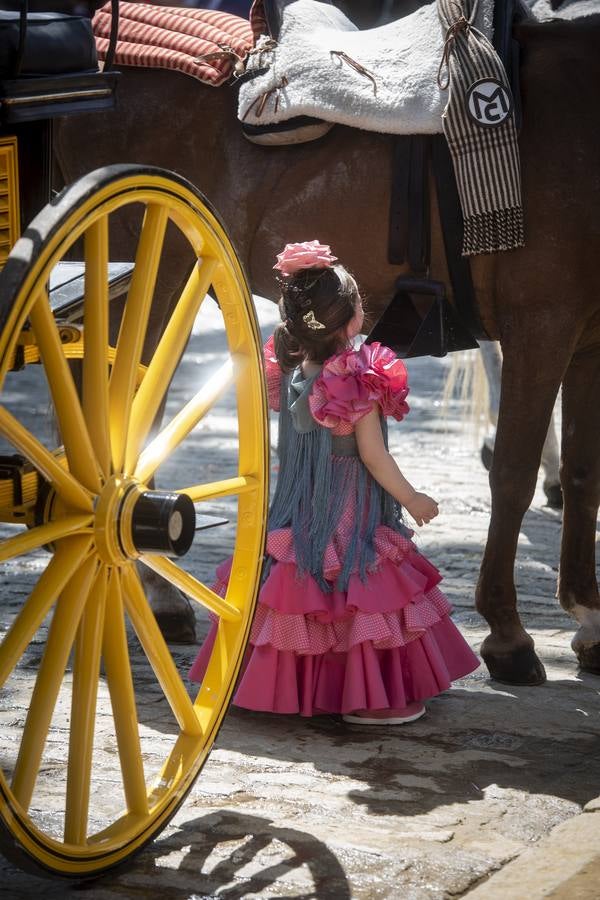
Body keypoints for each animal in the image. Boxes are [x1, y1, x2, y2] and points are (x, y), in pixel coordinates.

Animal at [55, 10, 600, 684]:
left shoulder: (586, 340)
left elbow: (582, 471)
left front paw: (588, 616)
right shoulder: (541, 327)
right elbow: (514, 474)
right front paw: (507, 633)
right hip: (158, 273)